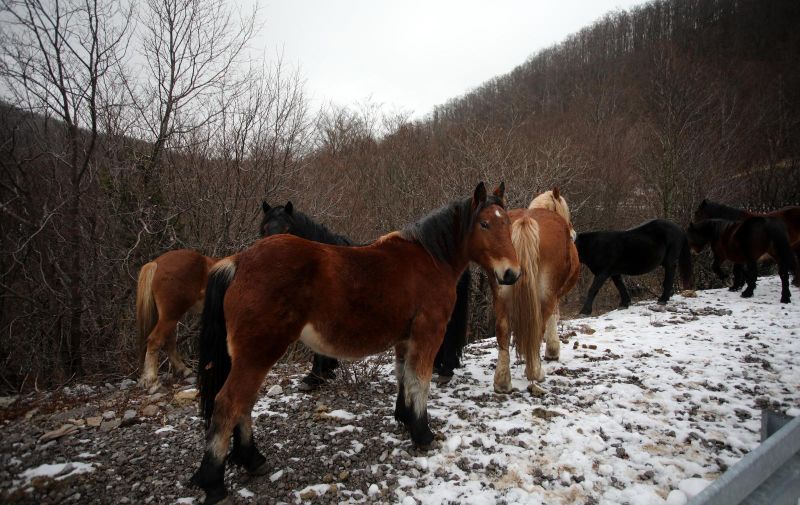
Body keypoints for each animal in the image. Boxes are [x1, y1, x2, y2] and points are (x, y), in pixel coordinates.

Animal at [138, 250, 219, 388]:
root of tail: (156, 263)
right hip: (171, 316)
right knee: (156, 340)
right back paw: (151, 379)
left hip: (170, 318)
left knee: (169, 342)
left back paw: (183, 370)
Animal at [490, 187, 580, 392]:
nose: (574, 234)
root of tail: (525, 221)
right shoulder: (554, 294)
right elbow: (554, 317)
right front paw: (552, 351)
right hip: (545, 295)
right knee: (539, 325)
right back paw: (535, 372)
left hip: (500, 294)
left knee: (503, 330)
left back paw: (502, 382)